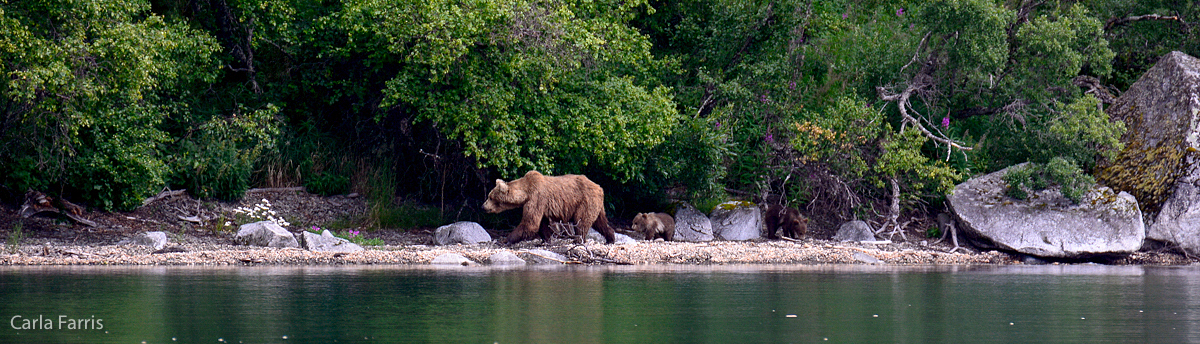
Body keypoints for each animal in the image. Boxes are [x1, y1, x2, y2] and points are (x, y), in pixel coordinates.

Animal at [480, 170, 614, 245]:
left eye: (490, 197)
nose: (483, 207)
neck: (525, 193)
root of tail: (599, 187)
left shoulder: (537, 198)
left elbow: (530, 223)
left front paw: (504, 240)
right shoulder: (542, 206)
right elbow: (541, 224)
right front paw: (545, 241)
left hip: (585, 201)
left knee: (581, 221)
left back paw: (578, 240)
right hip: (596, 204)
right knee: (600, 222)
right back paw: (610, 238)